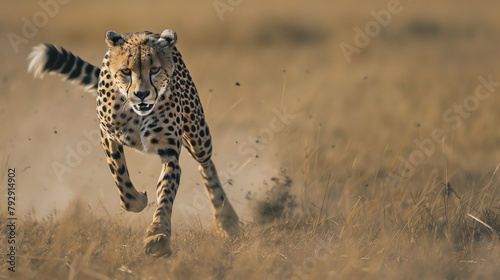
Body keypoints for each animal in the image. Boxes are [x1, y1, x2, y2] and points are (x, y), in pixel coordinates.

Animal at [28, 29, 241, 258]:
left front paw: (157, 236)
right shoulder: (108, 135)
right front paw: (140, 200)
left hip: (198, 135)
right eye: (126, 71)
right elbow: (122, 181)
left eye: (155, 69)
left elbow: (165, 194)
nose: (141, 94)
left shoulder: (169, 152)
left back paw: (226, 219)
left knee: (206, 166)